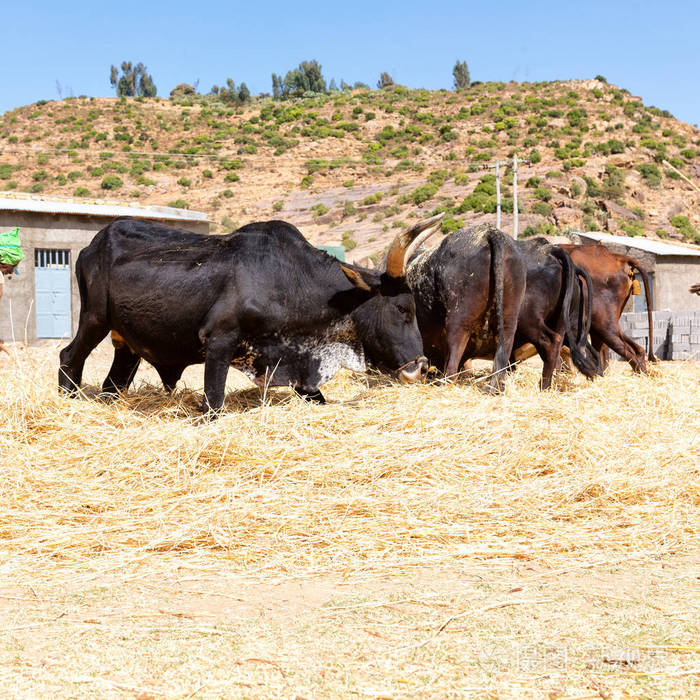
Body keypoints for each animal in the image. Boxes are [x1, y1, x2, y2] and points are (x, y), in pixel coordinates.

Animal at [60, 213, 442, 410]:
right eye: (403, 309)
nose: (421, 367)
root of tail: (91, 245)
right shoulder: (218, 342)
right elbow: (213, 405)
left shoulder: (296, 364)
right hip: (94, 320)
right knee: (69, 356)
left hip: (127, 344)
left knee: (112, 384)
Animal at [404, 221, 524, 392]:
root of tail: (489, 233)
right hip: (509, 315)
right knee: (505, 343)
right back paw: (495, 387)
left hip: (458, 317)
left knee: (454, 350)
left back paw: (445, 382)